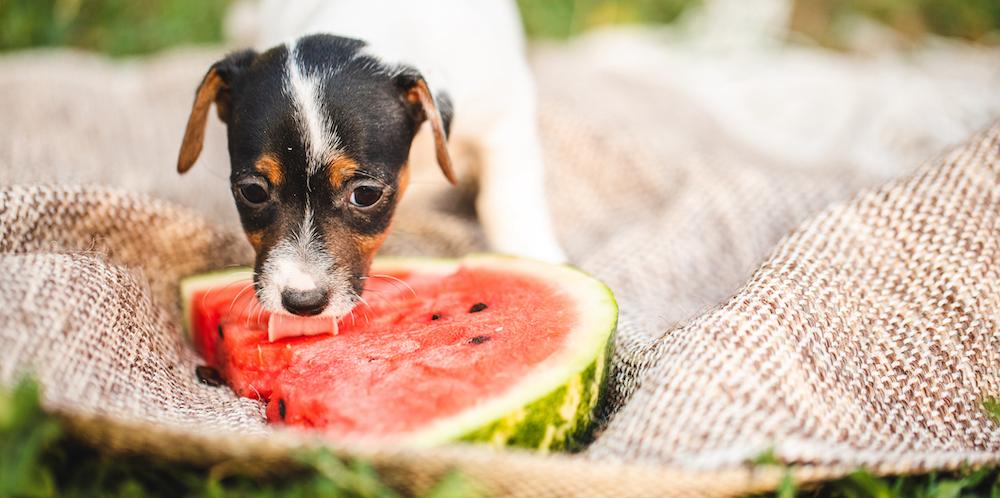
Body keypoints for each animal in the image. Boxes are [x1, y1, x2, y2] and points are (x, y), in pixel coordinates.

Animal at [178, 0, 564, 320]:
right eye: (253, 192)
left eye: (365, 194)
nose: (303, 302)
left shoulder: (503, 116)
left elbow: (506, 197)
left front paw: (532, 253)